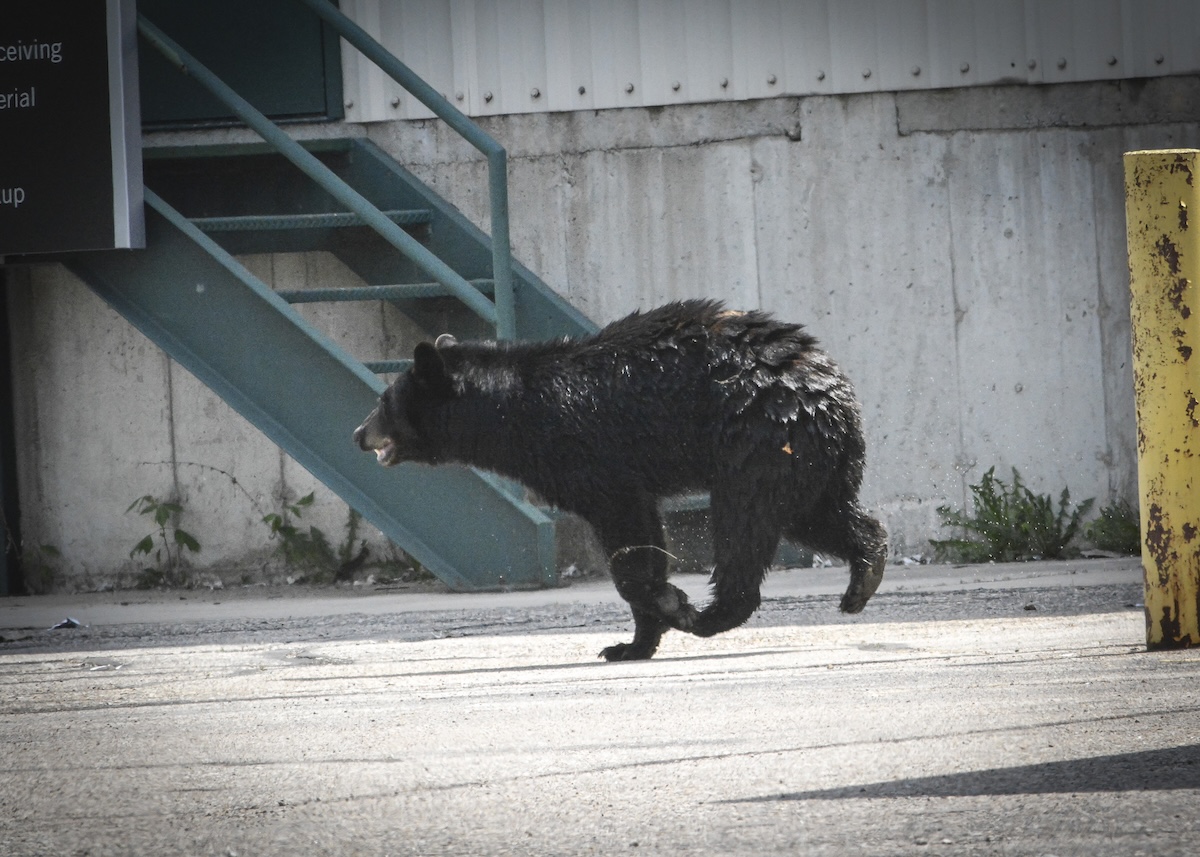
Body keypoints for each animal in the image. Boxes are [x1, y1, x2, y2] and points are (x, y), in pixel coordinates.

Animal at [354, 299, 887, 661]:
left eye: (383, 401)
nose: (359, 433)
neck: (513, 411)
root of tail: (832, 393)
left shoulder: (591, 457)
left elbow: (626, 539)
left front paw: (666, 603)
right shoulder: (628, 478)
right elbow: (645, 536)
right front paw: (632, 644)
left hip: (758, 440)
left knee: (745, 520)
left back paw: (708, 614)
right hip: (808, 460)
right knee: (815, 516)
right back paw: (863, 576)